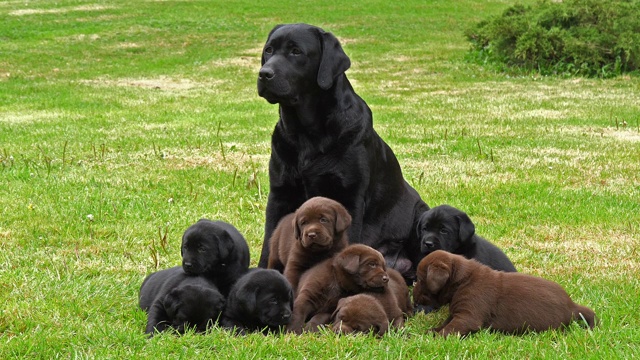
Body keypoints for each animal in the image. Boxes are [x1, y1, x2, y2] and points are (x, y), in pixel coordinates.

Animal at [256, 23, 430, 284]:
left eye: (296, 51)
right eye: (269, 50)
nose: (264, 73)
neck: (306, 134)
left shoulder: (349, 196)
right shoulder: (280, 194)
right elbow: (269, 241)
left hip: (422, 216)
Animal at [412, 250, 596, 338]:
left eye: (420, 279)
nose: (412, 296)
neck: (463, 280)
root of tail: (572, 306)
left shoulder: (468, 316)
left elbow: (451, 328)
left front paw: (435, 337)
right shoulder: (458, 311)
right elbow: (446, 323)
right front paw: (432, 331)